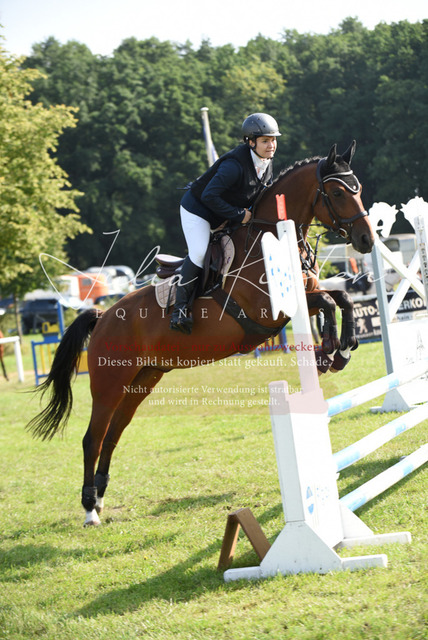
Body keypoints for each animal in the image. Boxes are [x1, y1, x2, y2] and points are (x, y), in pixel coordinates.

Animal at [27, 140, 375, 526]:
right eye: (338, 192)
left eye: (358, 188)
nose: (366, 240)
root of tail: (104, 316)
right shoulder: (271, 311)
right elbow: (329, 301)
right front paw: (329, 350)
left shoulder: (300, 301)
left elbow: (340, 299)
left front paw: (341, 349)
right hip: (109, 384)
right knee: (93, 438)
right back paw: (90, 509)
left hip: (142, 380)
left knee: (113, 434)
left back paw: (100, 497)